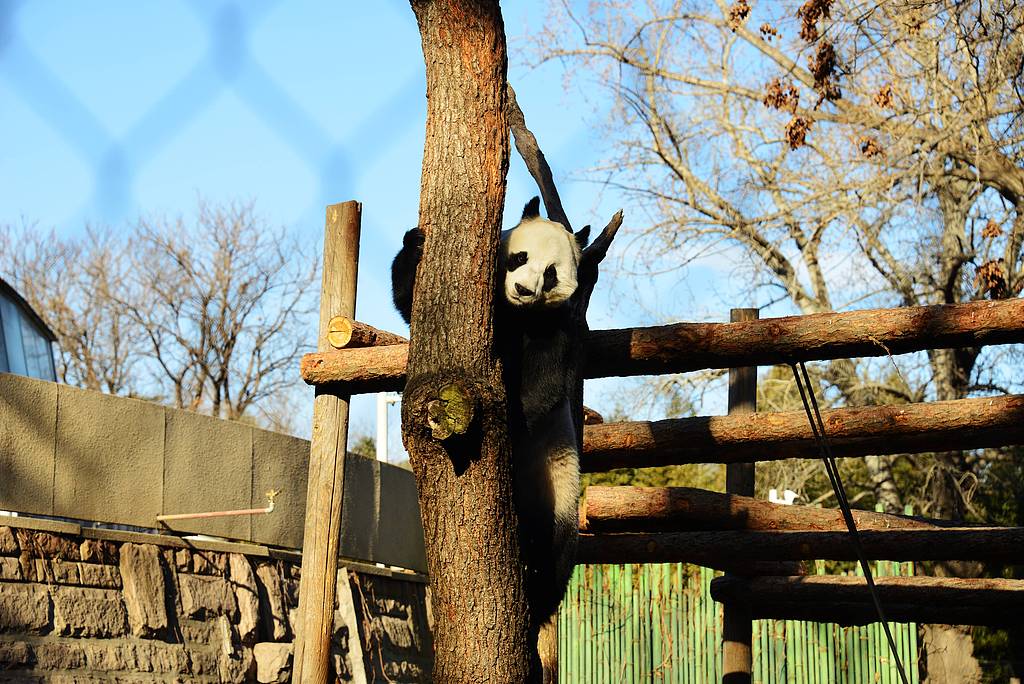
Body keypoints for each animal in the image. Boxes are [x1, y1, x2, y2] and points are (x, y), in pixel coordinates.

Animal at [389, 197, 589, 679]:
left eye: (550, 274)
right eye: (518, 258)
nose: (523, 289)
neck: (515, 314)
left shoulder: (555, 328)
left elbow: (540, 386)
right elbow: (410, 304)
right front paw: (416, 244)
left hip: (558, 492)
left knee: (553, 559)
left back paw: (534, 596)